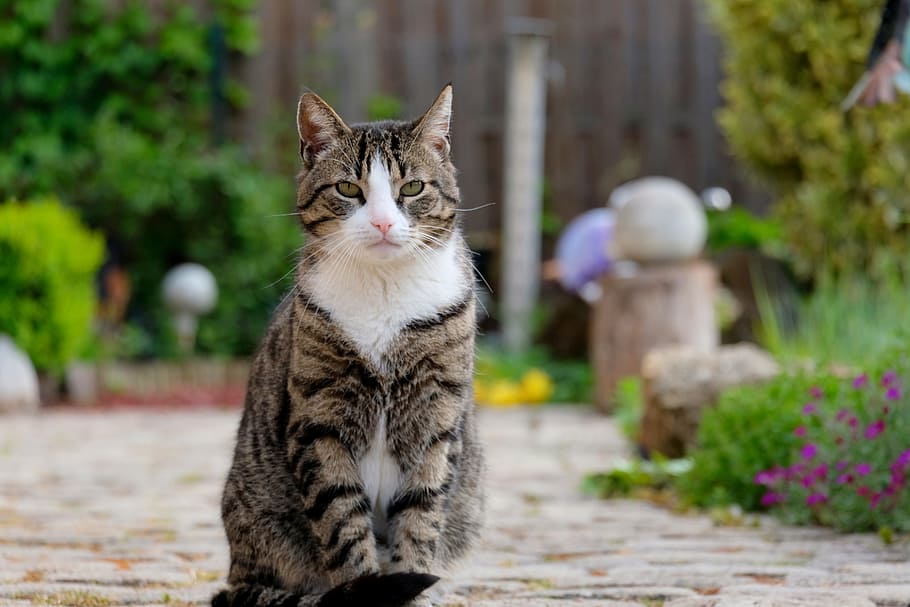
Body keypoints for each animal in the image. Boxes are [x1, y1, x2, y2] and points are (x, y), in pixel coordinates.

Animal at [214, 86, 484, 607]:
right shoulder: (319, 421)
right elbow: (343, 523)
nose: (382, 223)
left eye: (412, 189)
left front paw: (413, 590)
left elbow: (420, 517)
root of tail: (236, 574)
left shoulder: (438, 414)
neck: (383, 290)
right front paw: (367, 589)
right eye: (348, 189)